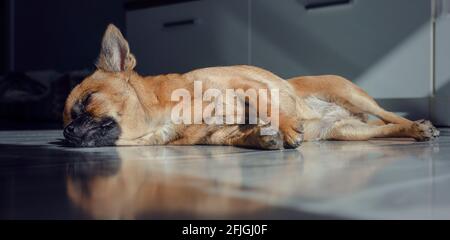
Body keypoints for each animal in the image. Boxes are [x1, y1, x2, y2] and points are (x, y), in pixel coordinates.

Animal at [63, 23, 440, 148]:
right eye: (66, 120)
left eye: (89, 100)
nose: (66, 131)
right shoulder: (221, 136)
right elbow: (242, 136)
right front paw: (263, 137)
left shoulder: (246, 86)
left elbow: (267, 105)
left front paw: (285, 128)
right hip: (346, 131)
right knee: (383, 128)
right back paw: (413, 131)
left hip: (351, 95)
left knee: (390, 114)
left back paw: (420, 125)